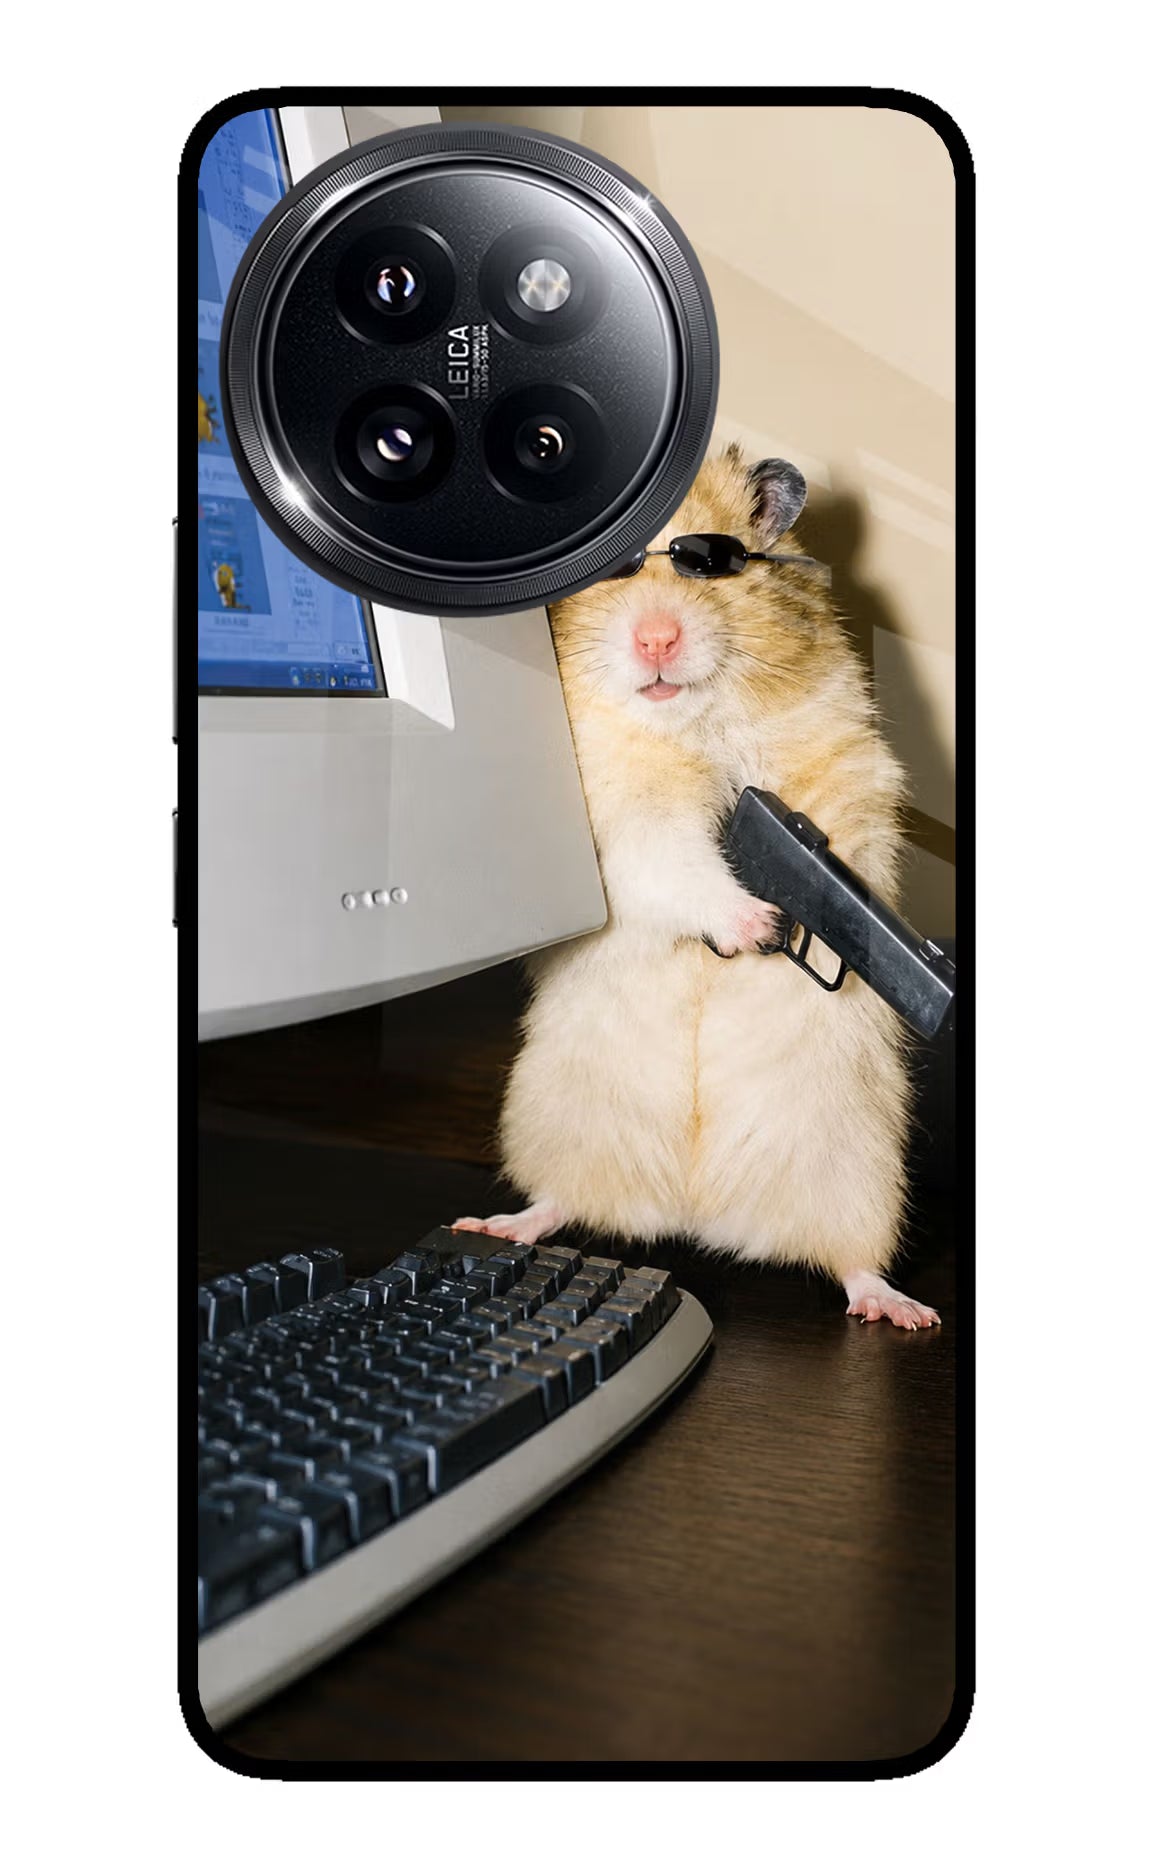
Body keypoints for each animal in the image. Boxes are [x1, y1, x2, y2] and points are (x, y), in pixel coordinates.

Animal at [456, 445, 939, 1329]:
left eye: (709, 563)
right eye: (612, 571)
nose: (656, 638)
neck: (692, 723)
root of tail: (694, 1212)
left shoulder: (844, 766)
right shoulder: (621, 818)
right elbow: (675, 862)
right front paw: (757, 924)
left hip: (857, 1169)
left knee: (852, 1261)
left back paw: (901, 1309)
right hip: (556, 1119)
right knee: (560, 1201)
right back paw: (498, 1223)